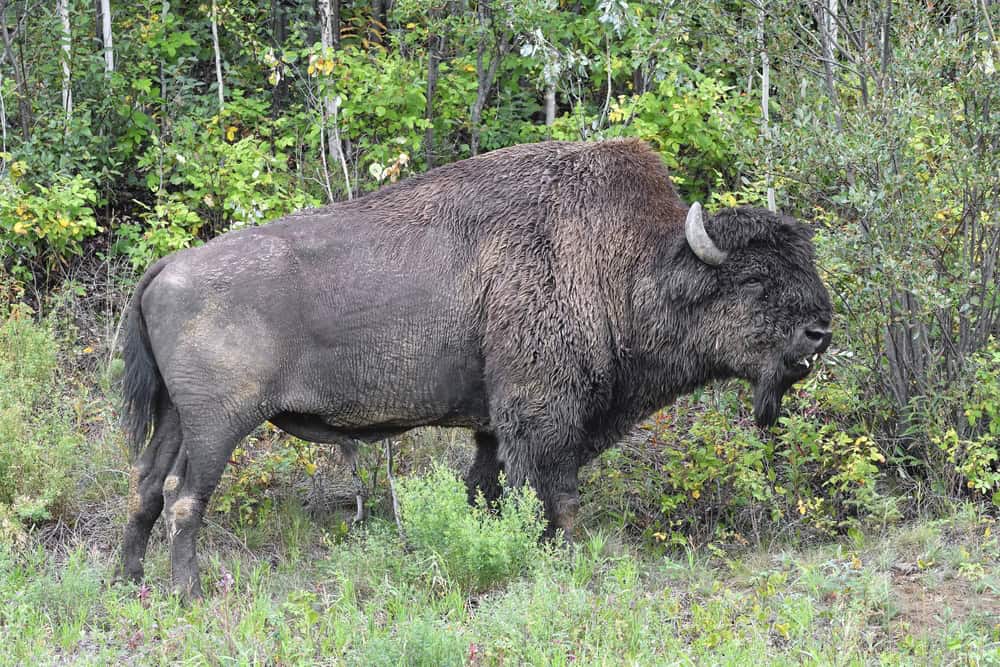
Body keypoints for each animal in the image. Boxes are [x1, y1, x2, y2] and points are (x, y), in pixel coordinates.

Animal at [119, 139, 832, 599]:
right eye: (754, 280)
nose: (821, 331)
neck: (629, 266)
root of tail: (167, 267)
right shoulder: (542, 418)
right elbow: (553, 495)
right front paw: (565, 561)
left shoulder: (495, 427)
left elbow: (487, 490)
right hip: (218, 426)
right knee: (185, 498)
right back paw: (189, 593)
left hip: (177, 421)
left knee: (148, 488)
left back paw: (131, 582)